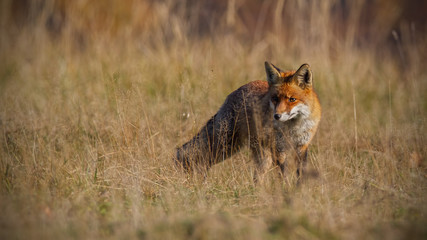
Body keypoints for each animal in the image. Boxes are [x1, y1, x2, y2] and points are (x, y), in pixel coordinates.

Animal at [176, 62, 320, 182]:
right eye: (275, 99)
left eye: (292, 99)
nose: (277, 116)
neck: (293, 128)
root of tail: (236, 91)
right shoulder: (278, 148)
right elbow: (283, 175)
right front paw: (286, 190)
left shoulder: (302, 146)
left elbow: (300, 173)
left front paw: (299, 191)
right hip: (226, 145)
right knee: (196, 157)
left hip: (258, 155)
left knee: (256, 177)